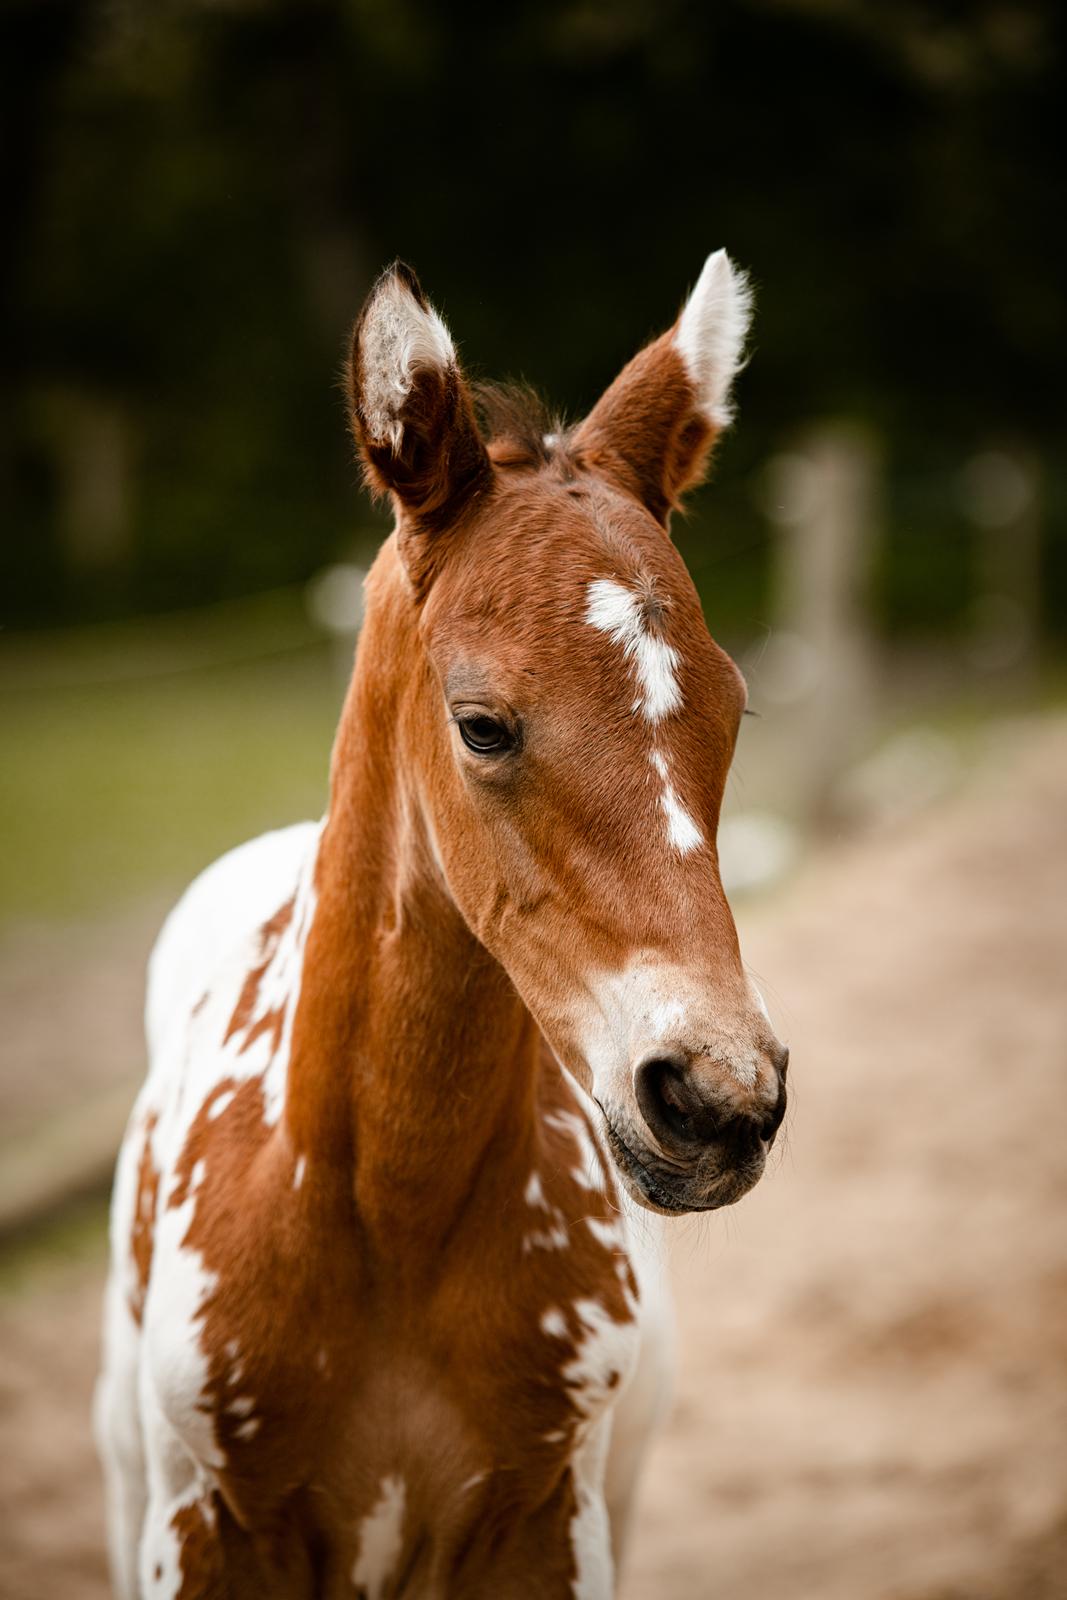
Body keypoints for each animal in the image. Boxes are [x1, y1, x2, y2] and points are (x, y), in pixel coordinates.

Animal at [95, 252, 790, 1600]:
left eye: (731, 706)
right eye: (481, 724)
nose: (717, 1097)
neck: (387, 1218)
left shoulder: (543, 1520)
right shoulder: (206, 1524)